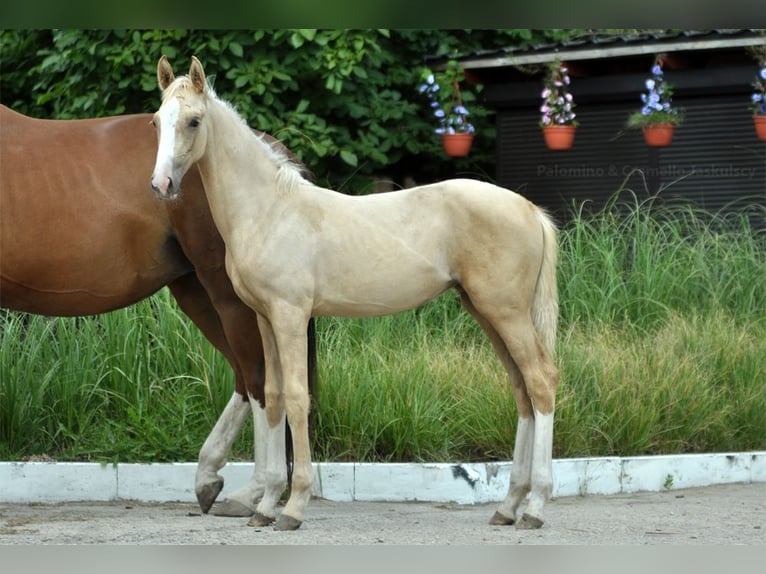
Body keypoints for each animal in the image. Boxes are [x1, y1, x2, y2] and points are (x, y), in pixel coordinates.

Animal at [0, 104, 316, 520]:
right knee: (245, 379)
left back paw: (255, 494)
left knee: (259, 380)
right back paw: (215, 479)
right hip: (196, 291)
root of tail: (274, 155)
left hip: (229, 296)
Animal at [150, 56, 560, 532]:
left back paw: (535, 508)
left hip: (506, 313)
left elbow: (296, 398)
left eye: (194, 121)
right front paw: (266, 505)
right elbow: (272, 397)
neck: (270, 210)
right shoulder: (265, 318)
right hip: (486, 311)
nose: (161, 185)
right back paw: (508, 507)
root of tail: (529, 210)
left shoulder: (290, 315)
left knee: (540, 382)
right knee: (521, 391)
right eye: (157, 121)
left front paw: (293, 507)